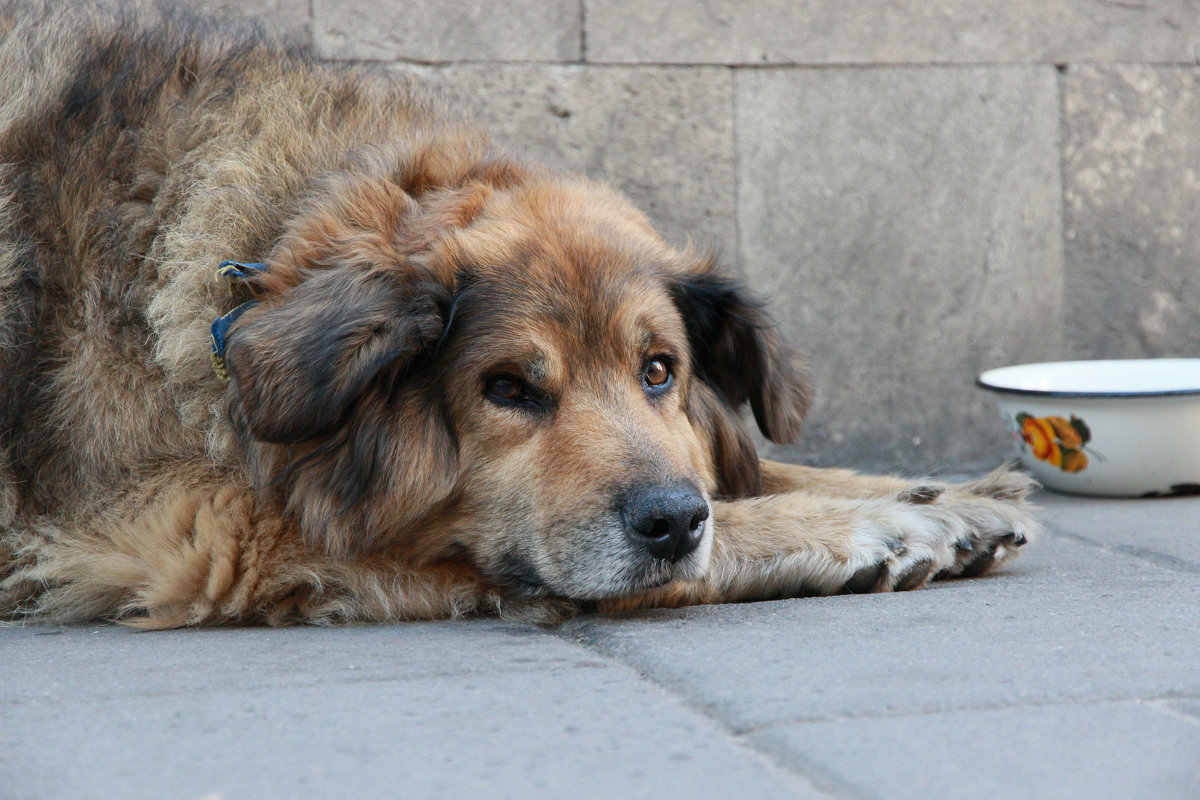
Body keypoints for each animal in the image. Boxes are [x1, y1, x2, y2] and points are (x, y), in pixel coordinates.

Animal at [0, 3, 1041, 628]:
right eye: (506, 389)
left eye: (659, 371)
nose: (671, 521)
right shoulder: (205, 529)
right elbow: (728, 523)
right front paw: (870, 529)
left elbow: (756, 470)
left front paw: (944, 494)